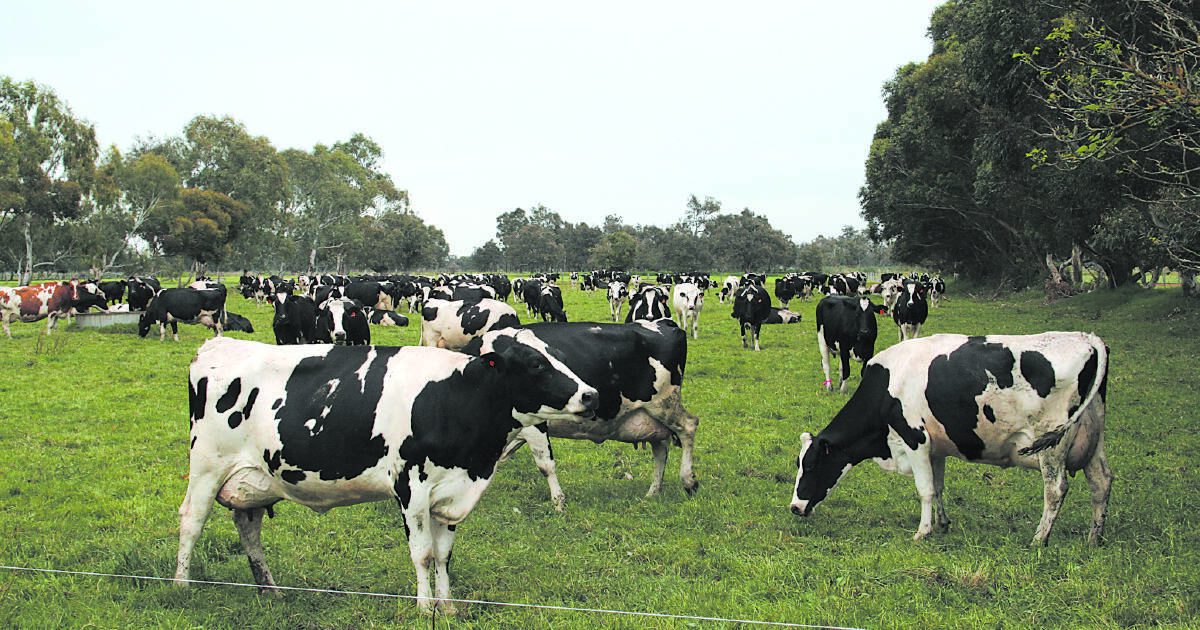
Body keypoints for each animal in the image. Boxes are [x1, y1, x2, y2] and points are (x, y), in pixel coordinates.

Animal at [175, 333, 600, 614]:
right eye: (536, 364)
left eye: (558, 357)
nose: (591, 394)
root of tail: (218, 344)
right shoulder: (410, 486)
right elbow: (423, 554)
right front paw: (425, 609)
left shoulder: (451, 491)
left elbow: (444, 554)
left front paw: (447, 607)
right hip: (207, 466)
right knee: (191, 521)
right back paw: (181, 587)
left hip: (254, 478)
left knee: (248, 527)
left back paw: (270, 591)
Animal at [460, 319, 700, 506]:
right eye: (537, 364)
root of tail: (664, 323)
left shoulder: (533, 424)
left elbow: (545, 465)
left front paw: (559, 503)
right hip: (651, 416)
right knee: (660, 448)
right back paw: (653, 492)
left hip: (665, 403)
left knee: (689, 425)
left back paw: (688, 481)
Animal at [787, 328, 1113, 544]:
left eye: (811, 465)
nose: (795, 507)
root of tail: (1086, 338)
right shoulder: (936, 446)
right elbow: (939, 486)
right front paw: (942, 523)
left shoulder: (915, 439)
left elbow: (925, 489)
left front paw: (922, 531)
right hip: (1093, 437)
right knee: (1101, 482)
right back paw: (1094, 537)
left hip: (1051, 445)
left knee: (1056, 490)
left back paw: (1039, 539)